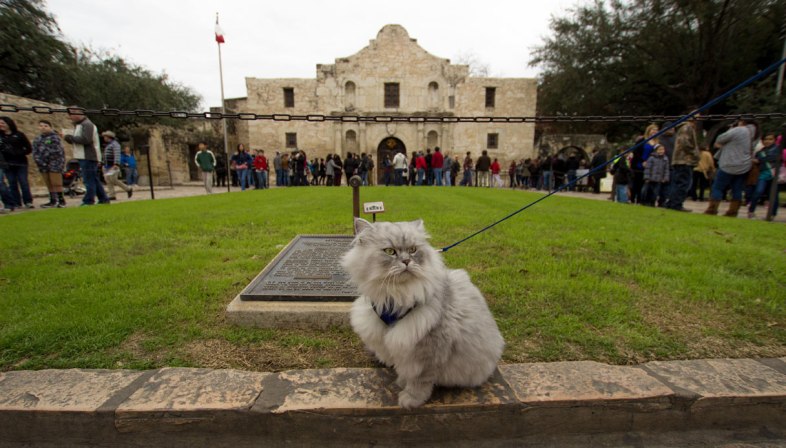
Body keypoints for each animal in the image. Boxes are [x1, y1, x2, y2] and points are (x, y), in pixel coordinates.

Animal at [342, 218, 502, 410]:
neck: (396, 296)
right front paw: (401, 382)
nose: (406, 261)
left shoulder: (427, 353)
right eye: (390, 251)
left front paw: (410, 399)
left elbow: (419, 381)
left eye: (413, 250)